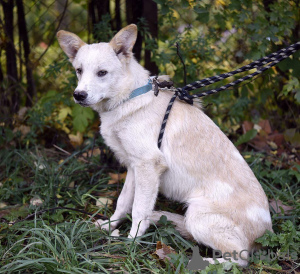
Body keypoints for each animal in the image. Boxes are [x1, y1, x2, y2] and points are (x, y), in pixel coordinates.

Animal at [57, 24, 274, 266]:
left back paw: (200, 263)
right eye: (79, 70)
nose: (79, 95)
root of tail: (265, 234)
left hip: (198, 216)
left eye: (102, 73)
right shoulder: (134, 168)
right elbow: (123, 203)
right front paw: (109, 226)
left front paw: (131, 243)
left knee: (240, 259)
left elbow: (139, 210)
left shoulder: (149, 166)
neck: (129, 98)